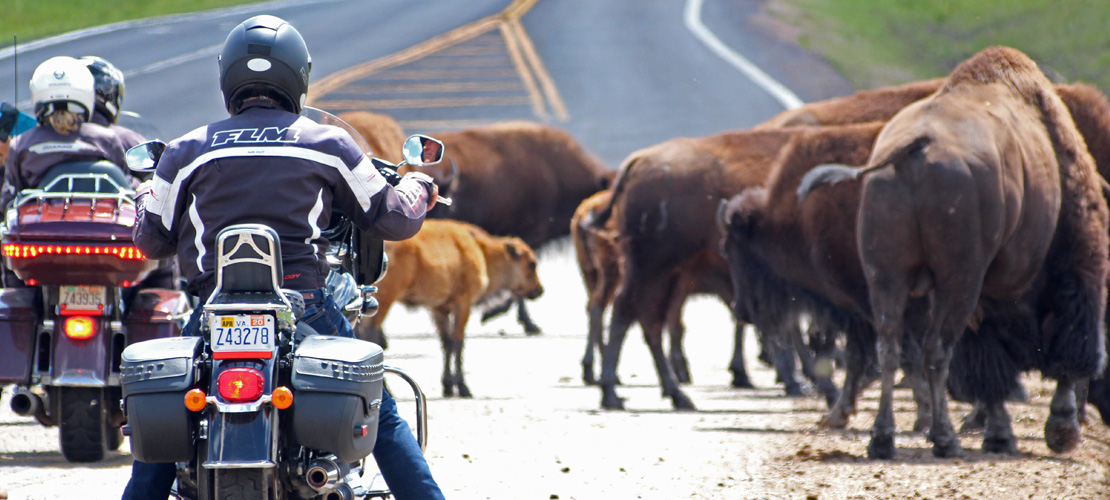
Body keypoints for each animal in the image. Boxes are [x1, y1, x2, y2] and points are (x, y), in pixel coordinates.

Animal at [359, 220, 541, 397]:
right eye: (531, 264)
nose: (539, 290)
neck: (480, 248)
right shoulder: (463, 305)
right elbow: (457, 342)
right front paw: (463, 387)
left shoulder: (439, 308)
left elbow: (446, 343)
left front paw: (447, 386)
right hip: (384, 302)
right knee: (372, 336)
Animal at [794, 45, 1105, 460]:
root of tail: (914, 147)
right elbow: (1061, 344)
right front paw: (1059, 429)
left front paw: (1000, 434)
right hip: (959, 281)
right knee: (937, 349)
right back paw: (944, 438)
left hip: (886, 276)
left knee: (890, 345)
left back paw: (883, 438)